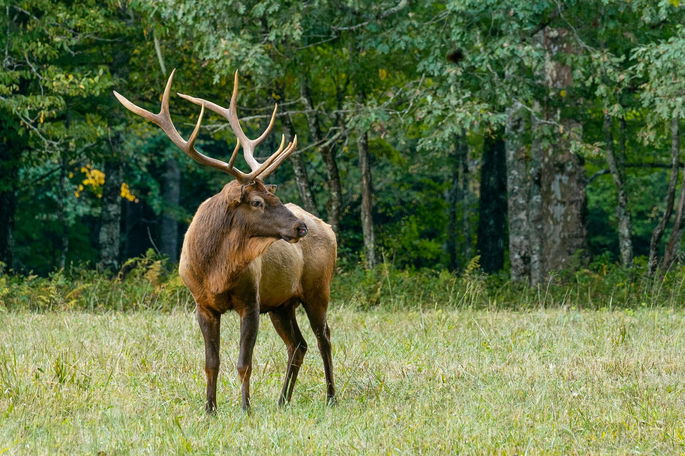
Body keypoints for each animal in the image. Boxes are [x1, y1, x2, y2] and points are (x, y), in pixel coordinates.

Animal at [113, 70, 337, 411]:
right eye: (257, 201)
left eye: (274, 195)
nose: (300, 228)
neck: (215, 269)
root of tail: (329, 228)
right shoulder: (202, 304)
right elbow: (211, 362)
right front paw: (210, 409)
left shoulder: (251, 301)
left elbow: (245, 362)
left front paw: (245, 408)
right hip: (282, 303)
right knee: (298, 344)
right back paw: (282, 400)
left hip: (317, 289)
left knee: (324, 337)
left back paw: (331, 397)